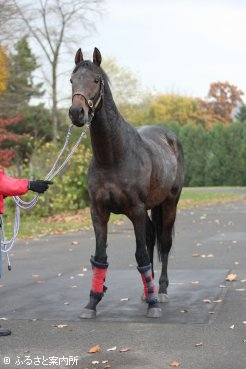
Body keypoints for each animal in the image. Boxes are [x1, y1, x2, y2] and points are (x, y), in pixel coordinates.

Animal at [68, 47, 184, 318]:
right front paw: (92, 303)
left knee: (163, 242)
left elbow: (140, 254)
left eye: (96, 80)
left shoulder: (136, 210)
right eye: (71, 80)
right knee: (152, 237)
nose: (77, 113)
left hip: (170, 203)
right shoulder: (98, 211)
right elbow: (101, 256)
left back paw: (161, 291)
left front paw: (153, 305)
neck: (113, 156)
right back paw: (148, 290)